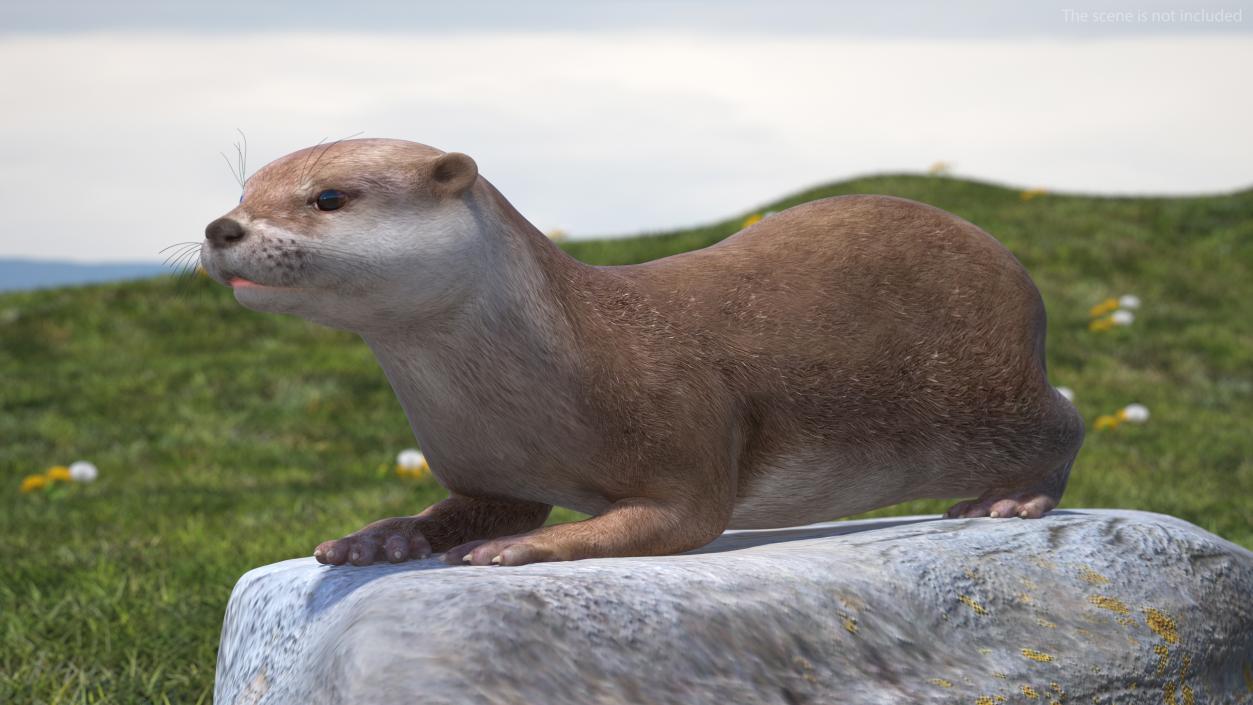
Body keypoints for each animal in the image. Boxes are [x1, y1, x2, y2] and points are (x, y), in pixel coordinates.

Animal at [200, 137, 1082, 568]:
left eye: (328, 197)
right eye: (241, 193)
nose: (221, 226)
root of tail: (1018, 278)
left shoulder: (682, 421)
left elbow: (682, 517)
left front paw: (526, 548)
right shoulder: (489, 469)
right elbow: (470, 506)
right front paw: (379, 537)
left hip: (984, 393)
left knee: (1066, 420)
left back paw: (1009, 500)